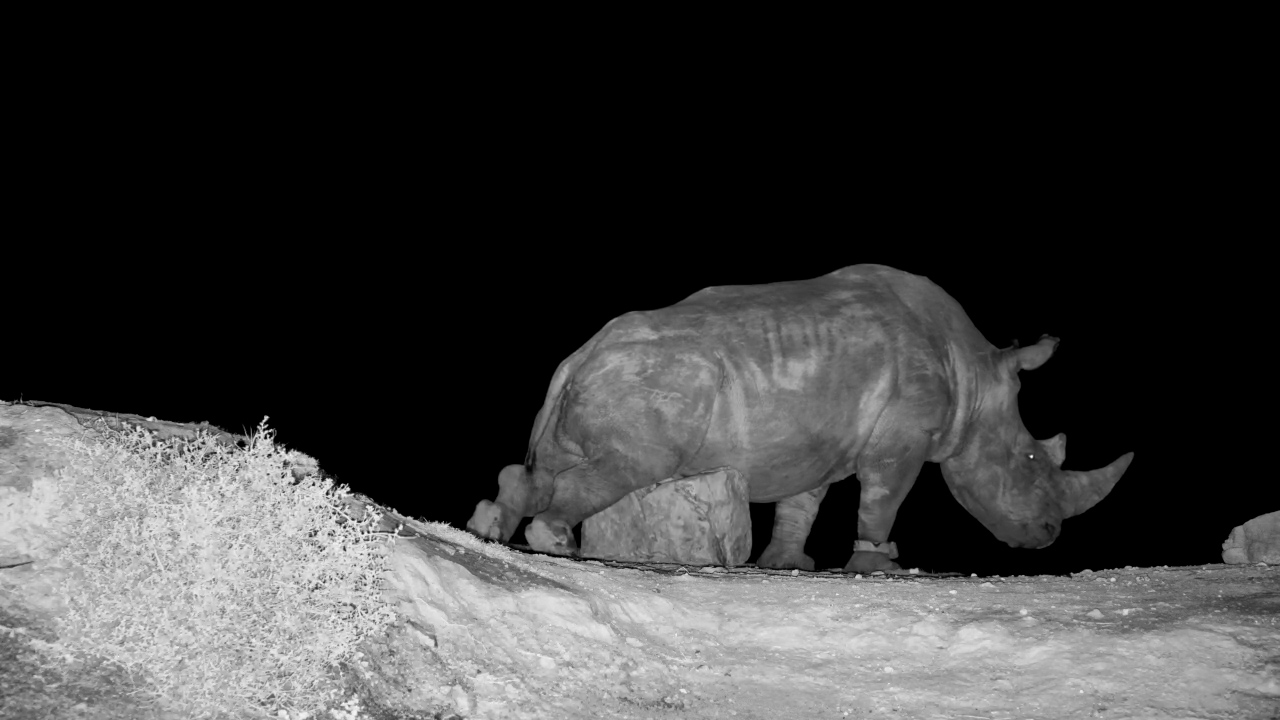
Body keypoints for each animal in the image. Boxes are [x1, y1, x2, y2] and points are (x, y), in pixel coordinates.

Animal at [469, 264, 1133, 573]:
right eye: (1030, 458)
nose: (1048, 535)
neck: (974, 373)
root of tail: (577, 355)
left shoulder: (819, 441)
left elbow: (802, 504)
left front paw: (788, 564)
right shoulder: (904, 437)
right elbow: (883, 498)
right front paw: (878, 563)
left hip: (606, 378)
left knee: (550, 463)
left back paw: (491, 526)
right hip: (655, 382)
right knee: (630, 466)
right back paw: (557, 542)